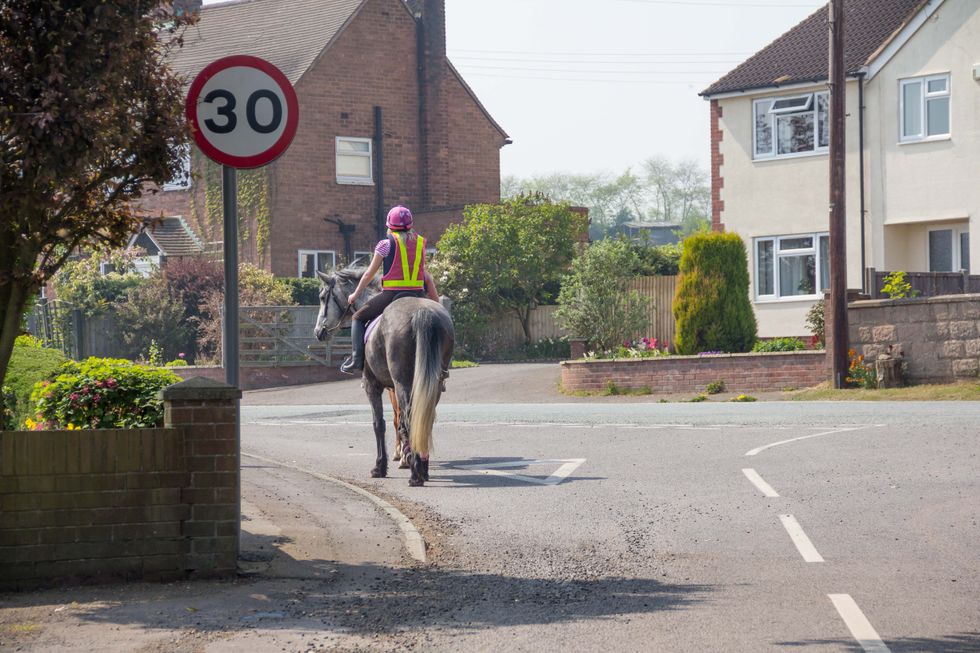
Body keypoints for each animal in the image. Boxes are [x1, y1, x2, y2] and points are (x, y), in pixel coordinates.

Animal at [312, 264, 454, 484]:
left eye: (322, 296)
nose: (319, 331)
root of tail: (421, 312)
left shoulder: (372, 386)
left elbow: (379, 424)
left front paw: (380, 466)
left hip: (403, 382)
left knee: (408, 418)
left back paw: (415, 473)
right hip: (434, 383)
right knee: (424, 419)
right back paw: (421, 466)